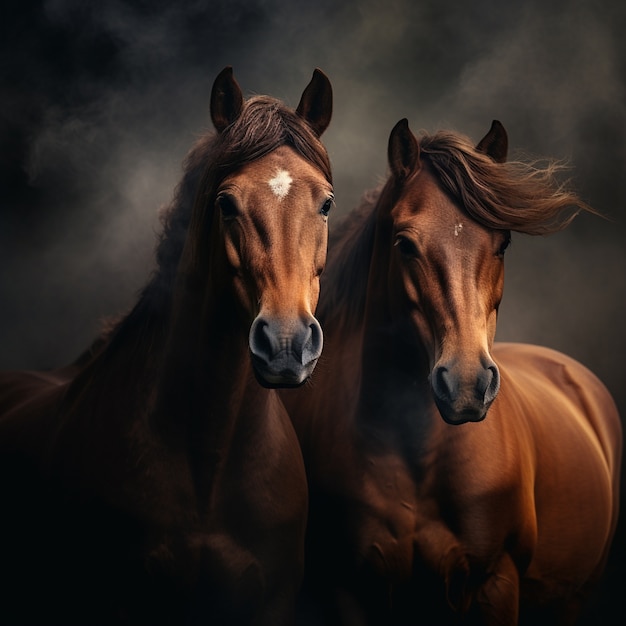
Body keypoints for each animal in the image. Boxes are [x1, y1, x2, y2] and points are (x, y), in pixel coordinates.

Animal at [284, 119, 620, 620]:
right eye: (405, 244)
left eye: (503, 243)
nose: (466, 385)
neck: (417, 455)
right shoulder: (350, 590)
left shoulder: (495, 582)